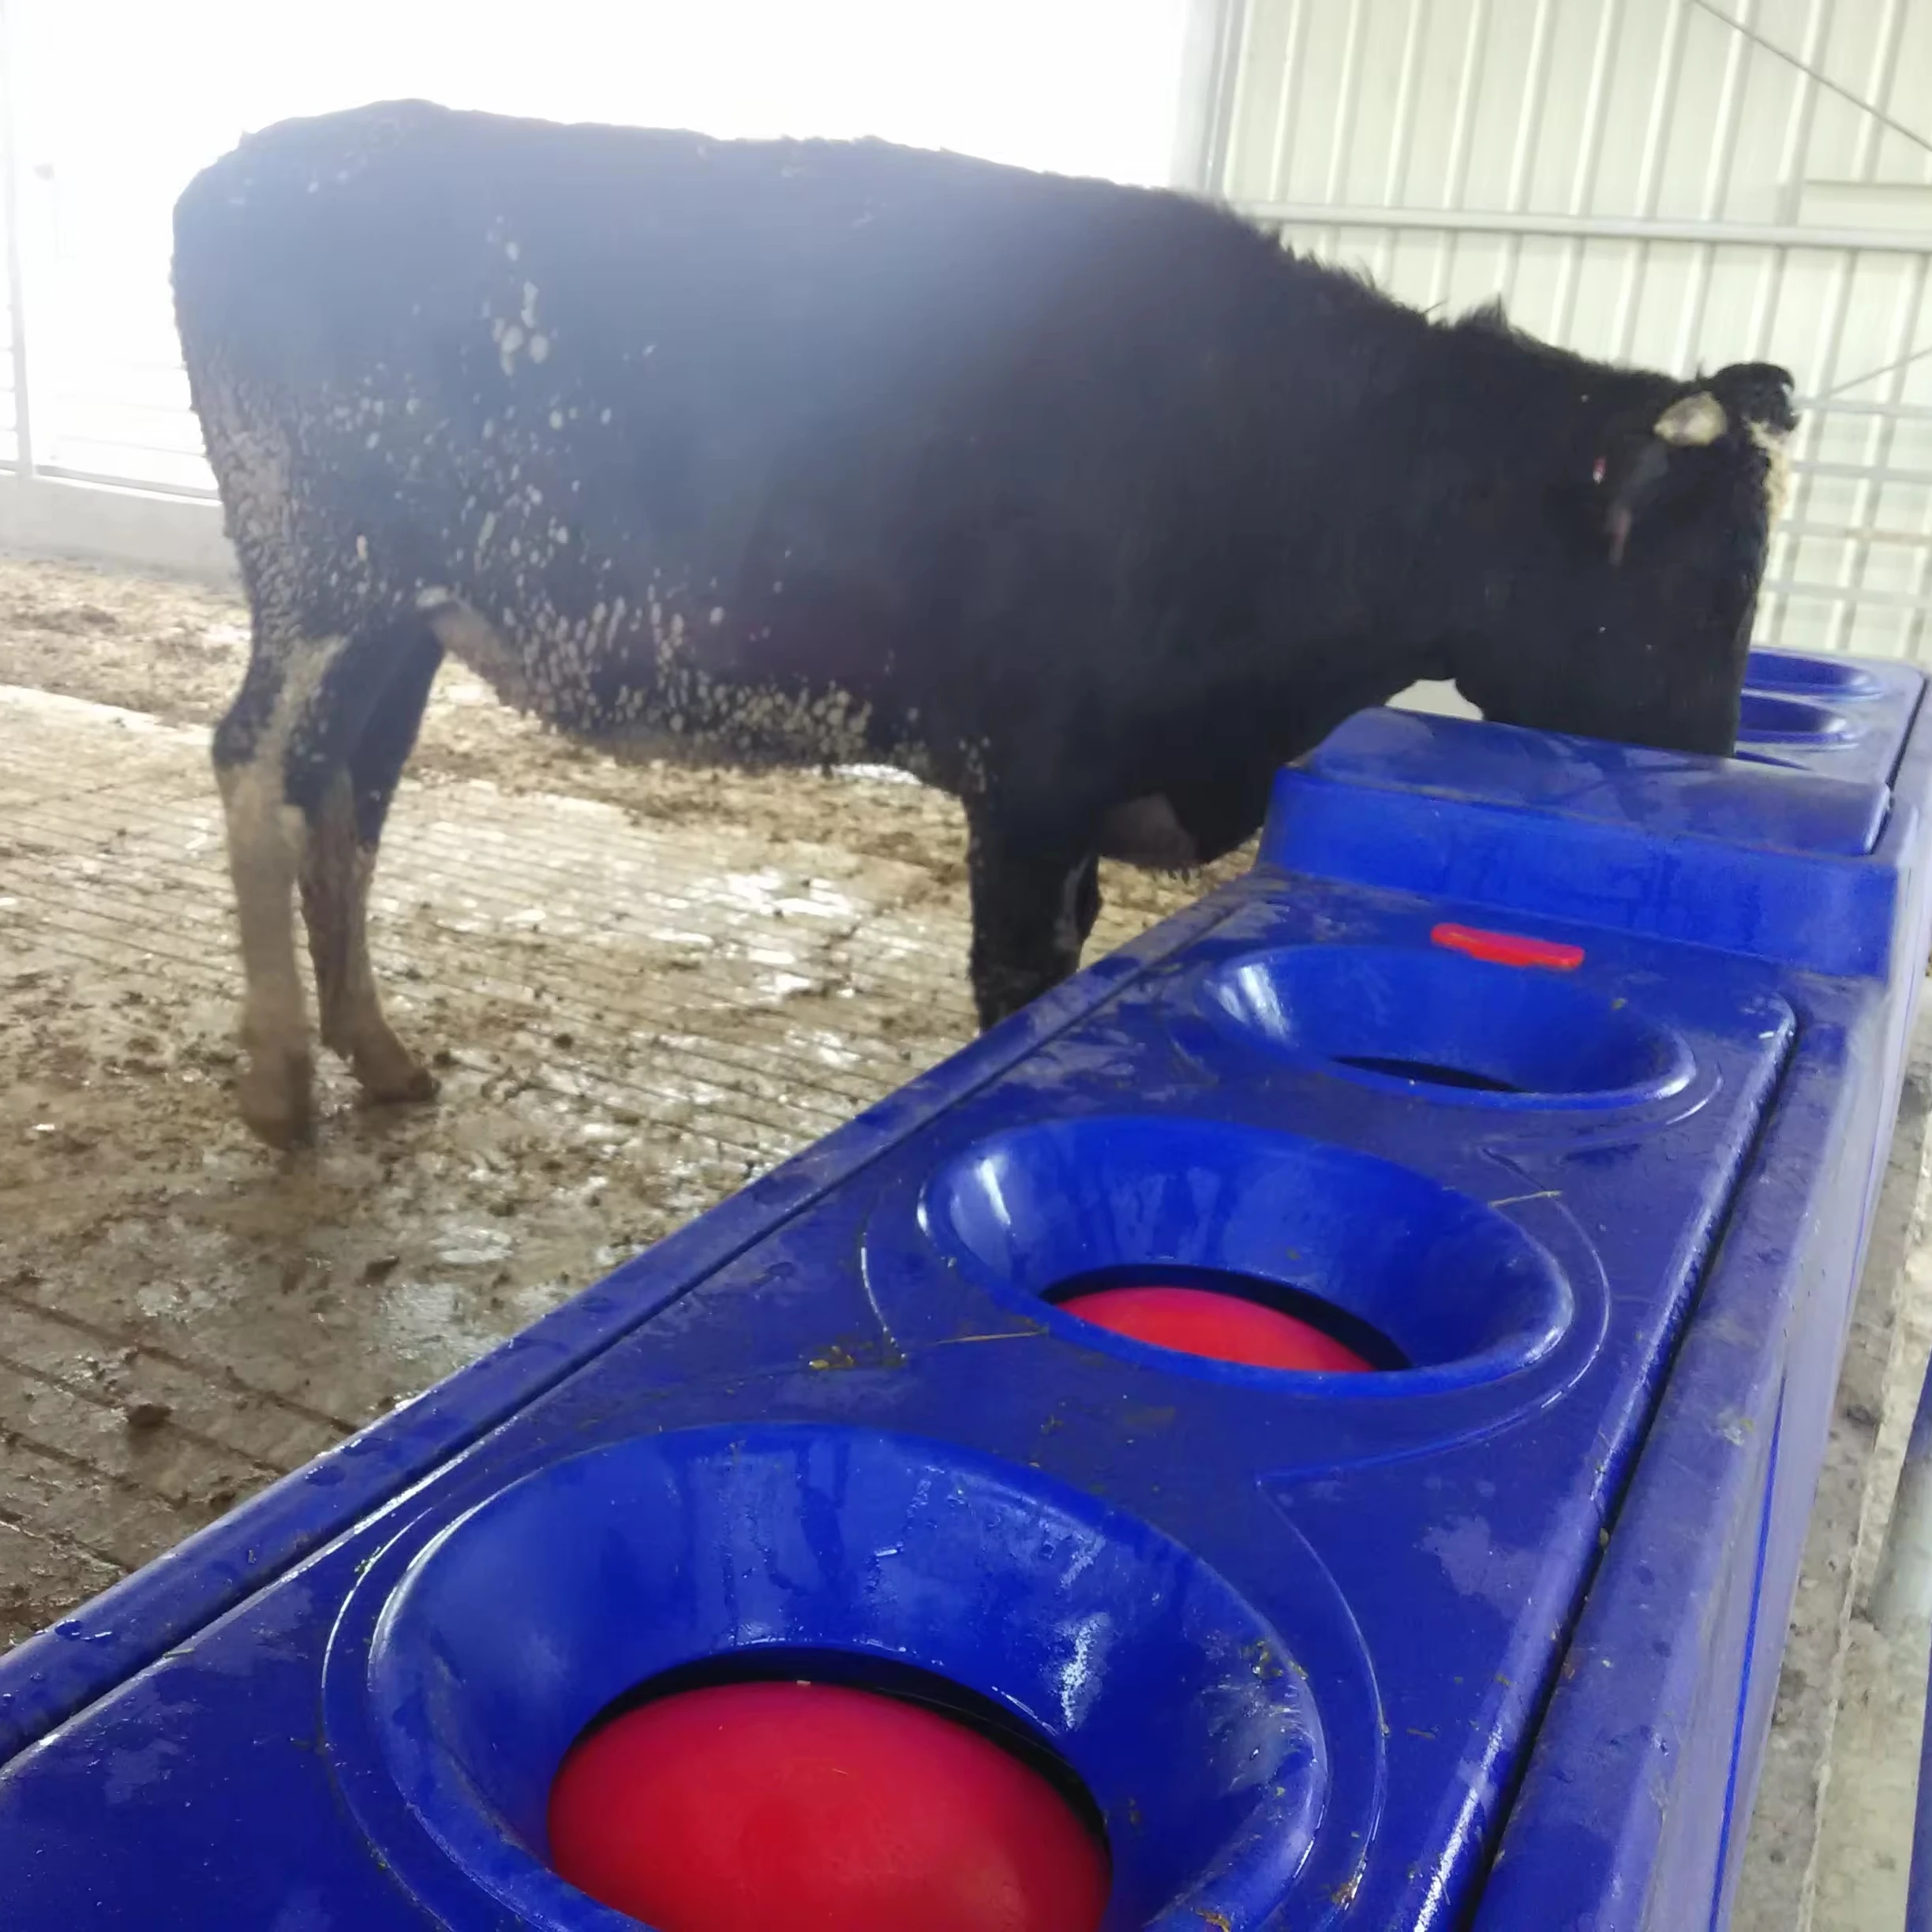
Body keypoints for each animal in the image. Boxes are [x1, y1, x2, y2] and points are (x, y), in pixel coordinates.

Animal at [172, 100, 1795, 1148]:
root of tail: (257, 165)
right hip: (317, 571)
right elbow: (1013, 989)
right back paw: (279, 1078)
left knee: (347, 790)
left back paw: (376, 1052)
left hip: (402, 612)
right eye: (1705, 588)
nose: (1715, 772)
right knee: (255, 759)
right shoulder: (1034, 776)